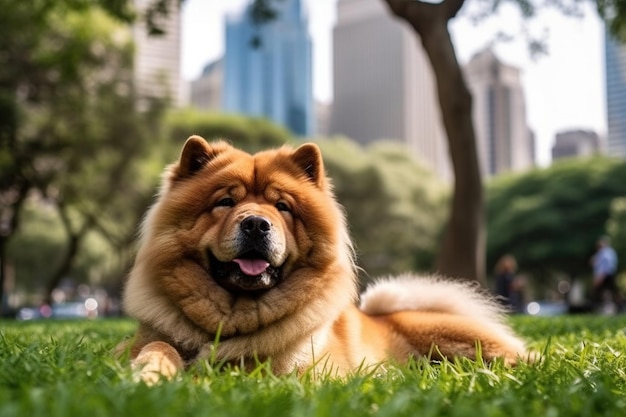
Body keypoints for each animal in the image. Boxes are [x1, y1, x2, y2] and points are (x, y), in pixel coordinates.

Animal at [119, 136, 524, 380]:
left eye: (283, 206)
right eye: (225, 202)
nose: (256, 224)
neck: (233, 318)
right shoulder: (146, 340)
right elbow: (158, 346)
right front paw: (150, 372)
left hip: (462, 341)